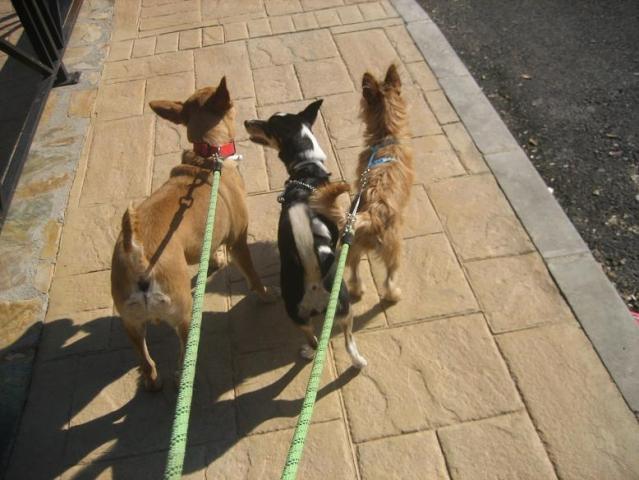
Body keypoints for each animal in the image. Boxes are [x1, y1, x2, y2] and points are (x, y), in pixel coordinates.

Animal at [111, 77, 277, 391]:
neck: (208, 155)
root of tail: (139, 258)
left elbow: (210, 247)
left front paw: (215, 261)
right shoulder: (239, 240)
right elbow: (252, 275)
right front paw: (265, 295)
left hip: (130, 324)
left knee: (147, 361)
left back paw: (152, 381)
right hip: (183, 315)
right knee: (181, 359)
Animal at [244, 100, 367, 368]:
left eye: (268, 125)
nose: (247, 120)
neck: (306, 170)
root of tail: (312, 278)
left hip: (302, 316)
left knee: (316, 340)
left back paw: (315, 354)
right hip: (344, 308)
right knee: (348, 341)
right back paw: (358, 361)